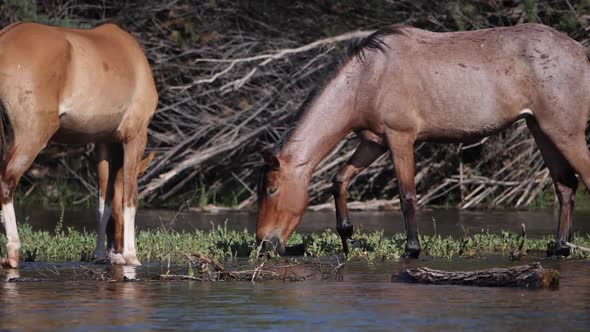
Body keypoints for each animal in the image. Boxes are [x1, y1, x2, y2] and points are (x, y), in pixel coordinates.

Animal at [0, 22, 158, 268]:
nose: (116, 248)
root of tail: (5, 37)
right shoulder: (135, 136)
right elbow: (129, 197)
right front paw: (131, 255)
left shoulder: (103, 141)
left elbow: (104, 200)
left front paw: (102, 253)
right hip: (33, 134)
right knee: (7, 181)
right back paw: (13, 251)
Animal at [258, 23, 590, 258]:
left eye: (272, 188)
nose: (264, 244)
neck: (368, 78)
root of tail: (581, 52)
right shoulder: (373, 142)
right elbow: (339, 180)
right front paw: (347, 236)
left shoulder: (400, 138)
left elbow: (407, 196)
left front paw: (412, 249)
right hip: (541, 129)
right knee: (565, 186)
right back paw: (561, 247)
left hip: (566, 133)